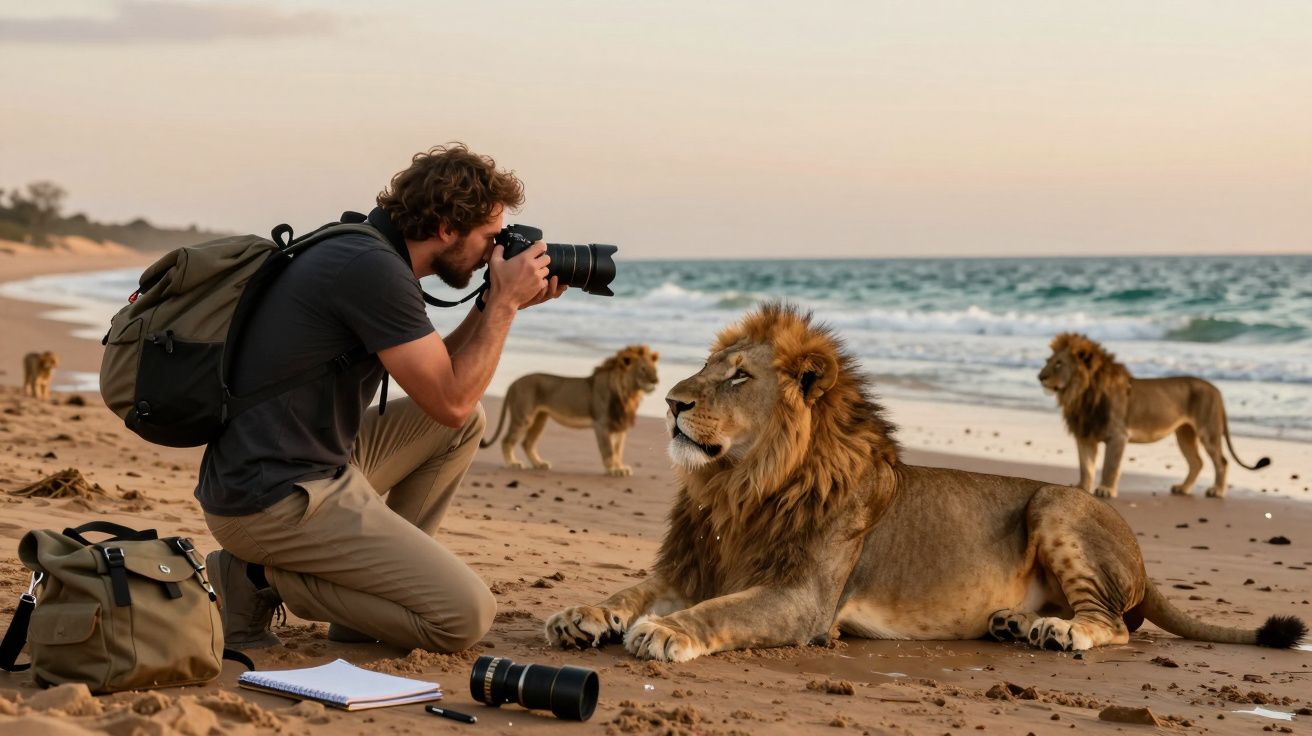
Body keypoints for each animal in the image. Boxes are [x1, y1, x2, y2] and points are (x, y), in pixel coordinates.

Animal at [481, 345, 659, 476]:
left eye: (654, 368)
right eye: (643, 368)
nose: (656, 380)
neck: (629, 393)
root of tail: (513, 383)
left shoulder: (619, 427)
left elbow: (618, 451)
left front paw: (620, 467)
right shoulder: (601, 424)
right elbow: (608, 450)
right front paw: (614, 470)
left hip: (540, 418)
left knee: (527, 443)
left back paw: (539, 464)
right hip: (524, 417)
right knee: (507, 440)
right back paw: (513, 463)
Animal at [1039, 333, 1269, 499]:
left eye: (1059, 363)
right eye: (1047, 360)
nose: (1040, 376)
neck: (1081, 395)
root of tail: (1216, 390)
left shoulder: (1118, 435)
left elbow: (1109, 466)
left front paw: (1105, 490)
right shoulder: (1085, 436)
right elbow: (1085, 467)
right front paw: (1082, 488)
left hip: (1208, 431)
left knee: (1221, 461)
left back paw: (1217, 491)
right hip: (1184, 434)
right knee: (1197, 462)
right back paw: (1182, 488)